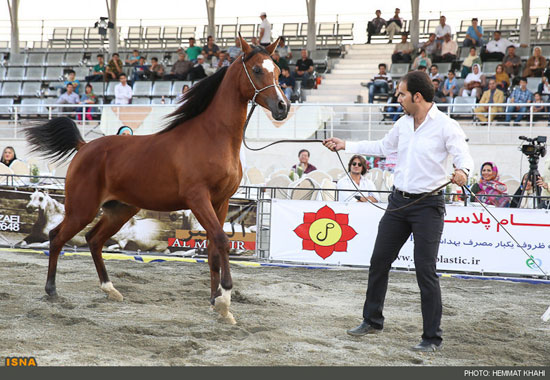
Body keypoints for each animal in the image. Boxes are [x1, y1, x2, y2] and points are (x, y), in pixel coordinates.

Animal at [23, 36, 292, 324]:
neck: (212, 137)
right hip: (82, 209)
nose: (282, 107)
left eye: (277, 71)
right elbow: (221, 240)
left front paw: (214, 302)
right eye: (257, 70)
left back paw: (110, 290)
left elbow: (212, 250)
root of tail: (84, 146)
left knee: (94, 240)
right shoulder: (198, 199)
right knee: (57, 237)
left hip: (120, 210)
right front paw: (224, 302)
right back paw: (51, 290)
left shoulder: (221, 202)